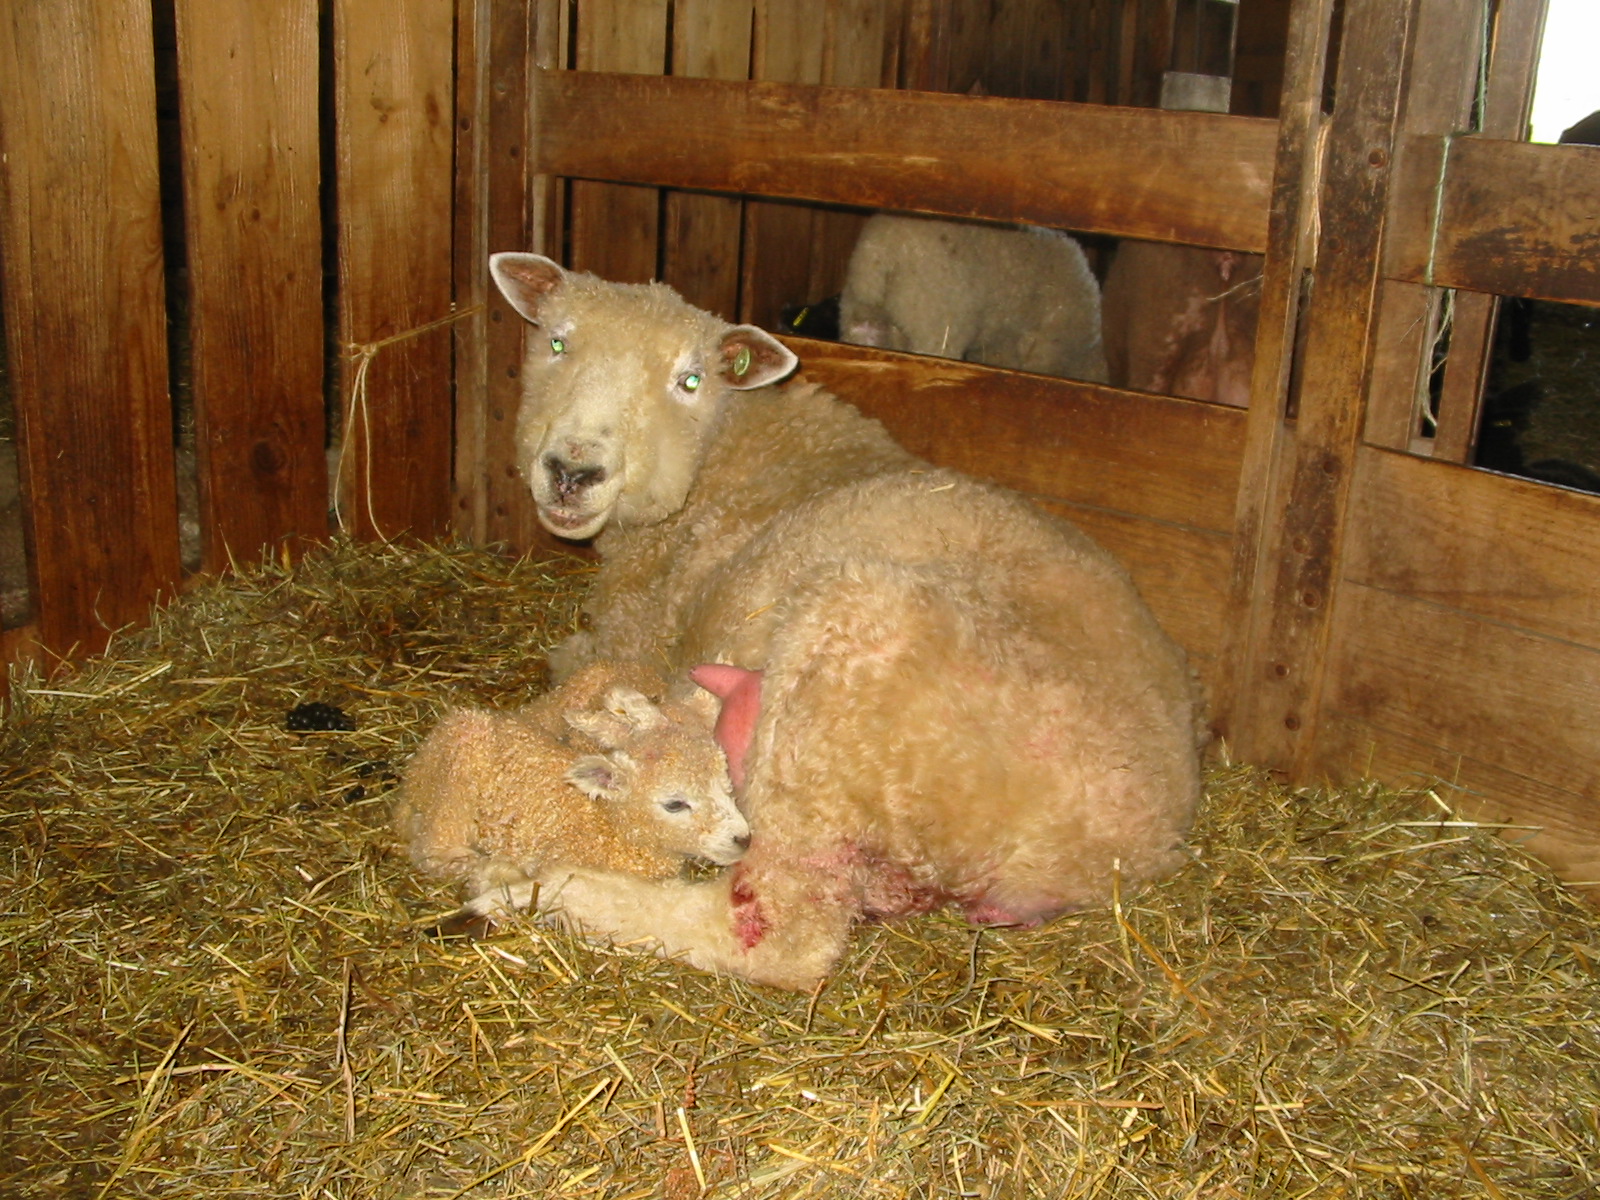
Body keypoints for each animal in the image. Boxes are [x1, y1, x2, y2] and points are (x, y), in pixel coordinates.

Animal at [393, 659, 751, 902]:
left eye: (725, 782)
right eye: (675, 804)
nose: (743, 840)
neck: (610, 827)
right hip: (452, 785)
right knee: (431, 849)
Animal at [480, 251, 1202, 991]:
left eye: (689, 380)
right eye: (556, 342)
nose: (573, 471)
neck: (728, 459)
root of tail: (1139, 842)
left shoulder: (637, 641)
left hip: (837, 687)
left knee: (782, 934)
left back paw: (533, 888)